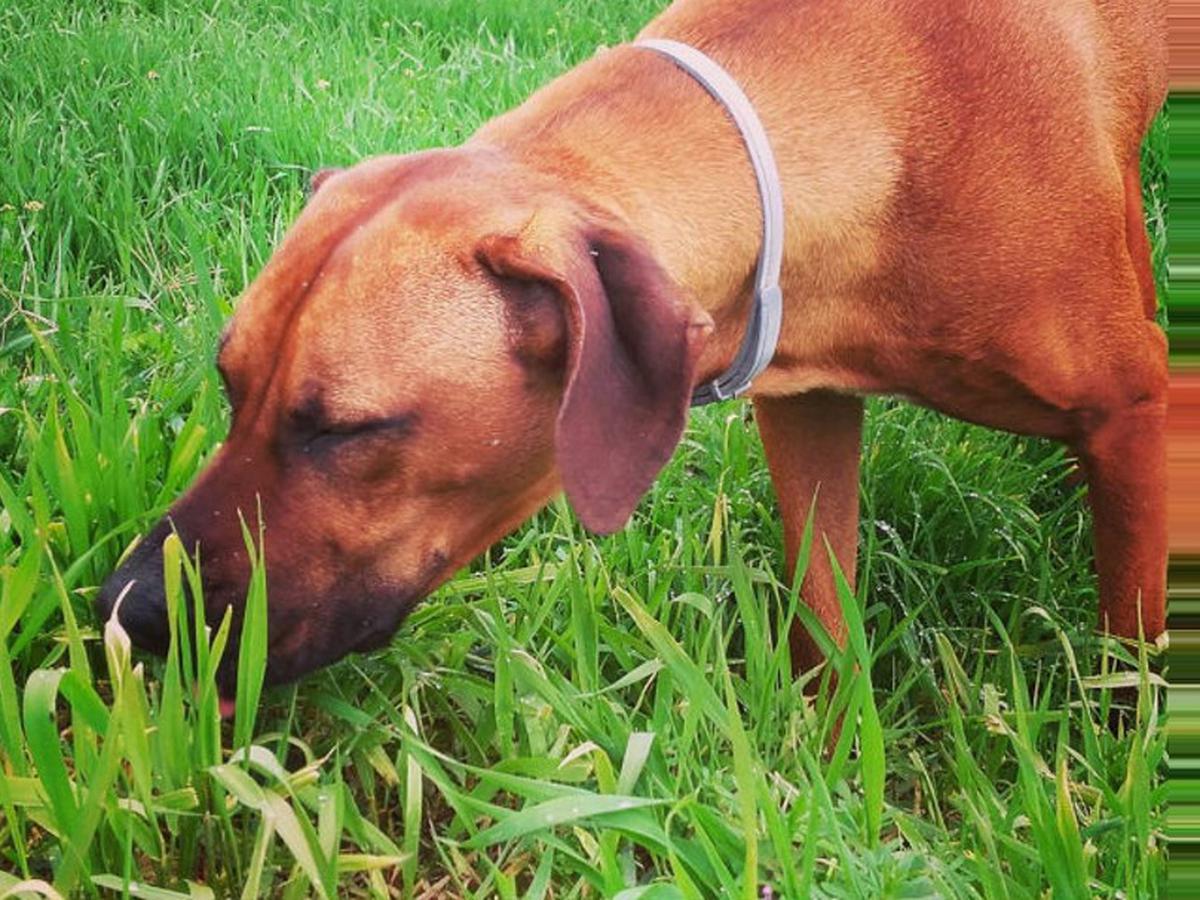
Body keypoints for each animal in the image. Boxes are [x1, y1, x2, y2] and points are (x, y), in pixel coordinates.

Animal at [98, 0, 1166, 705]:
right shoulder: (805, 400)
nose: (128, 609)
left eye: (346, 430)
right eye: (230, 385)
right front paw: (825, 760)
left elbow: (1132, 647)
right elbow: (822, 604)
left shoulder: (1133, 413)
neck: (888, 110)